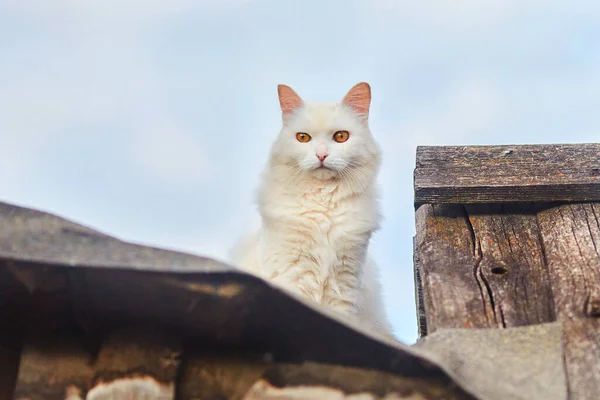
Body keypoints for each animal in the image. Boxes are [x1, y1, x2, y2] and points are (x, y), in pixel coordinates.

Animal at [231, 81, 394, 334]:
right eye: (303, 137)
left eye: (340, 136)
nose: (321, 155)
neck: (323, 205)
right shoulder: (292, 276)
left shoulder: (345, 284)